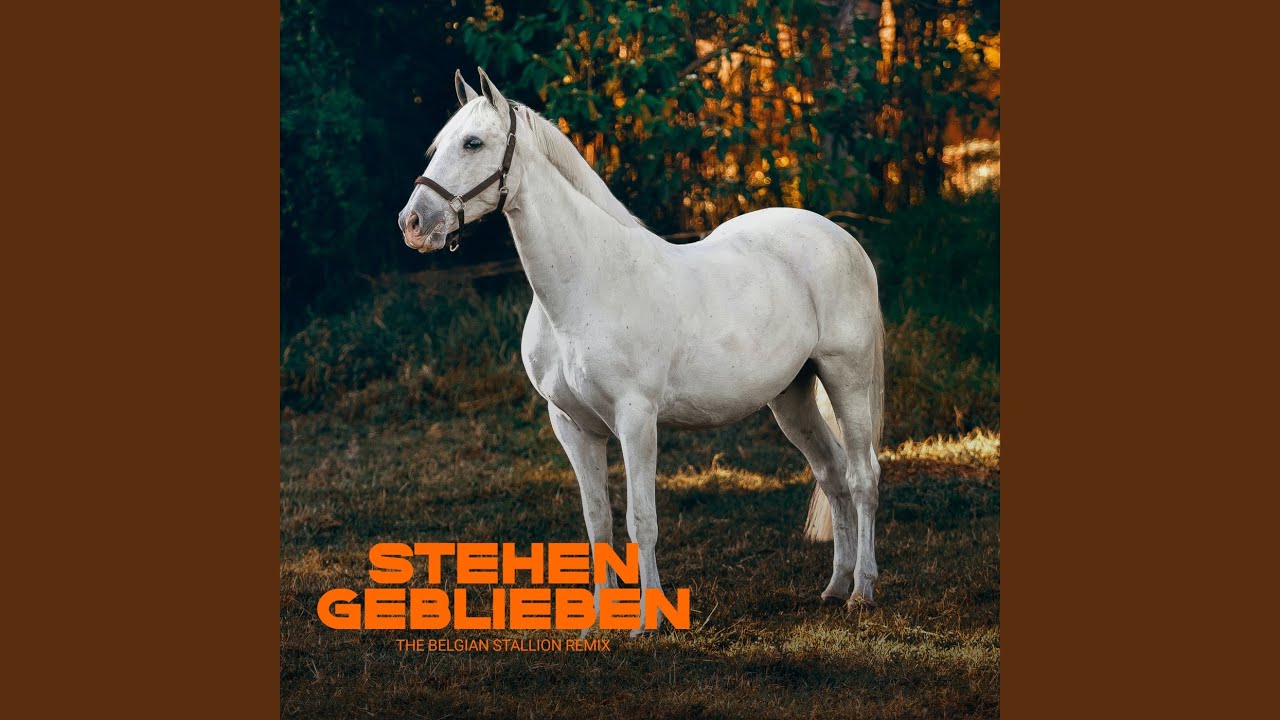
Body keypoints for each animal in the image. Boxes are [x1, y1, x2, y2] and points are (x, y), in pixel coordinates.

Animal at [398, 69, 884, 634]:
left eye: (473, 143)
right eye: (438, 146)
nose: (412, 224)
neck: (585, 286)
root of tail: (843, 239)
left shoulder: (636, 419)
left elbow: (640, 520)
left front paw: (646, 620)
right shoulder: (572, 425)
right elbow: (598, 523)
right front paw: (594, 621)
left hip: (846, 379)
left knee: (862, 475)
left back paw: (862, 591)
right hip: (792, 397)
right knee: (832, 475)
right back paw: (834, 587)